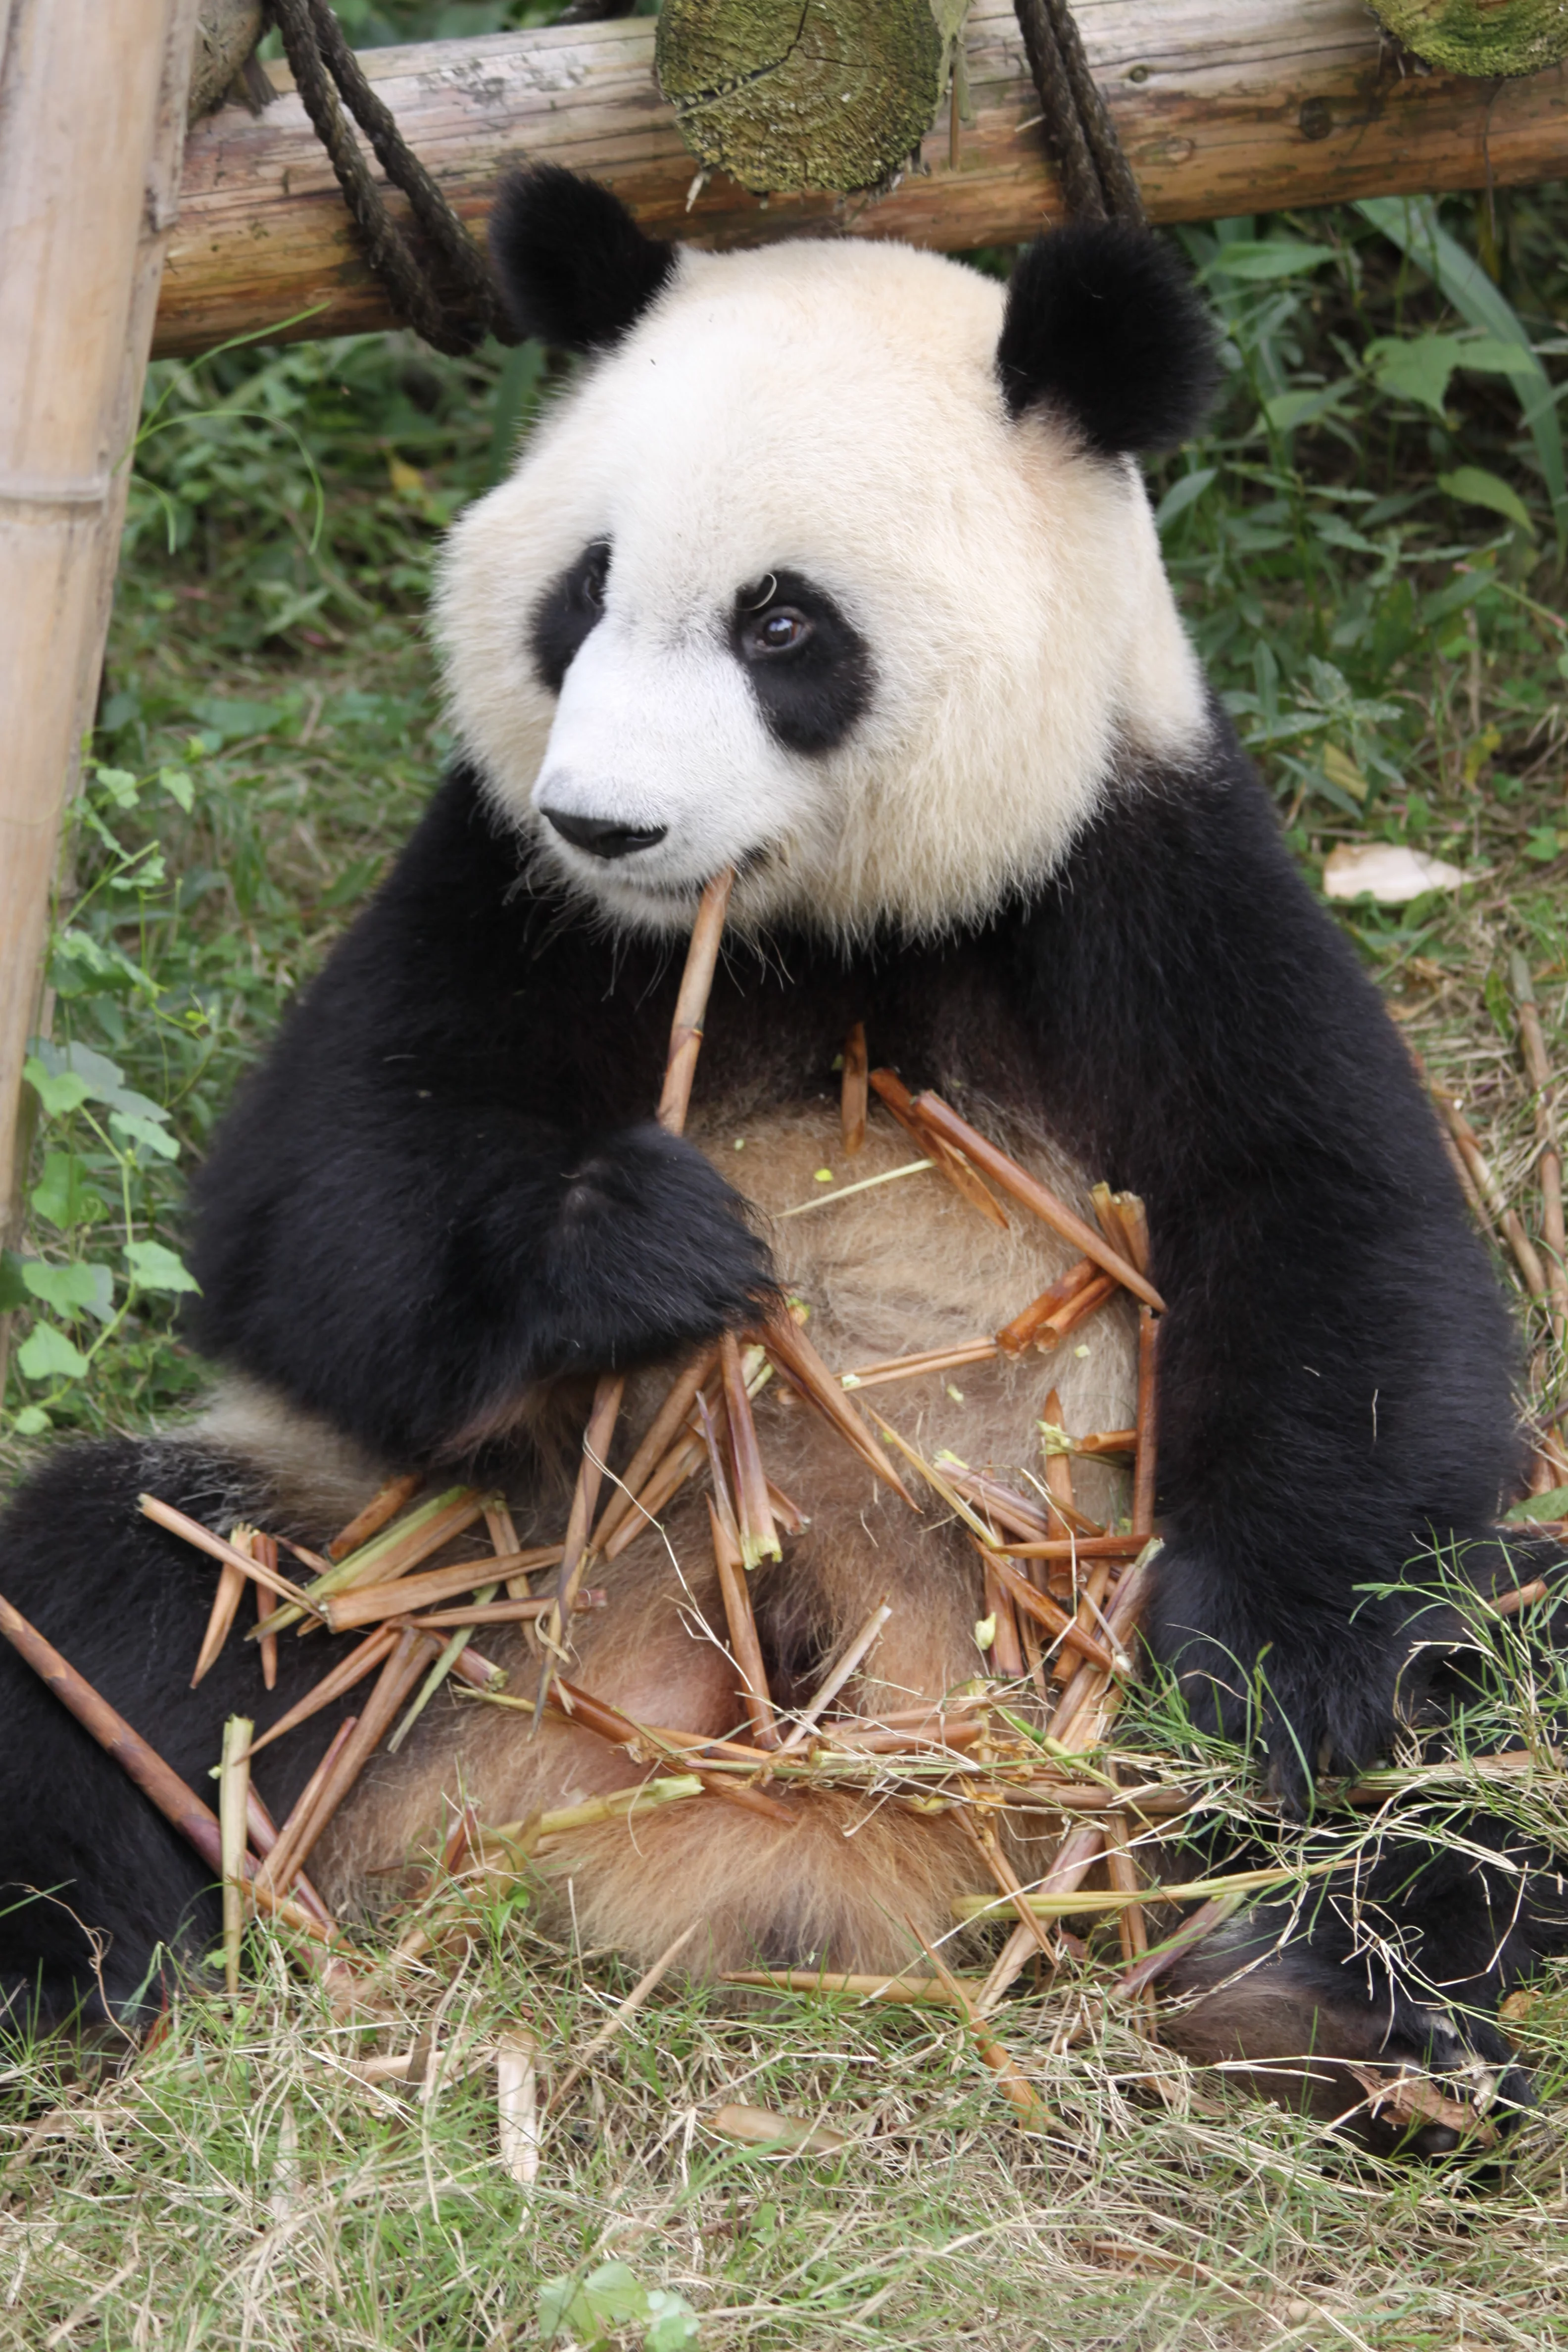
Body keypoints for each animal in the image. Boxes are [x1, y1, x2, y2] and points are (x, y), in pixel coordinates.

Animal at [1, 167, 1563, 2149]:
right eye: (581, 593)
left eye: (783, 627)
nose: (609, 822)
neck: (824, 923)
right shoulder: (507, 889)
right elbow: (321, 1200)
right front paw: (633, 1252)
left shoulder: (1142, 870)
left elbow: (1340, 1259)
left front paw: (1263, 1685)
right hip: (408, 1569)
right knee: (124, 1611)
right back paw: (76, 1958)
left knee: (1491, 1685)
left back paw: (1346, 2002)